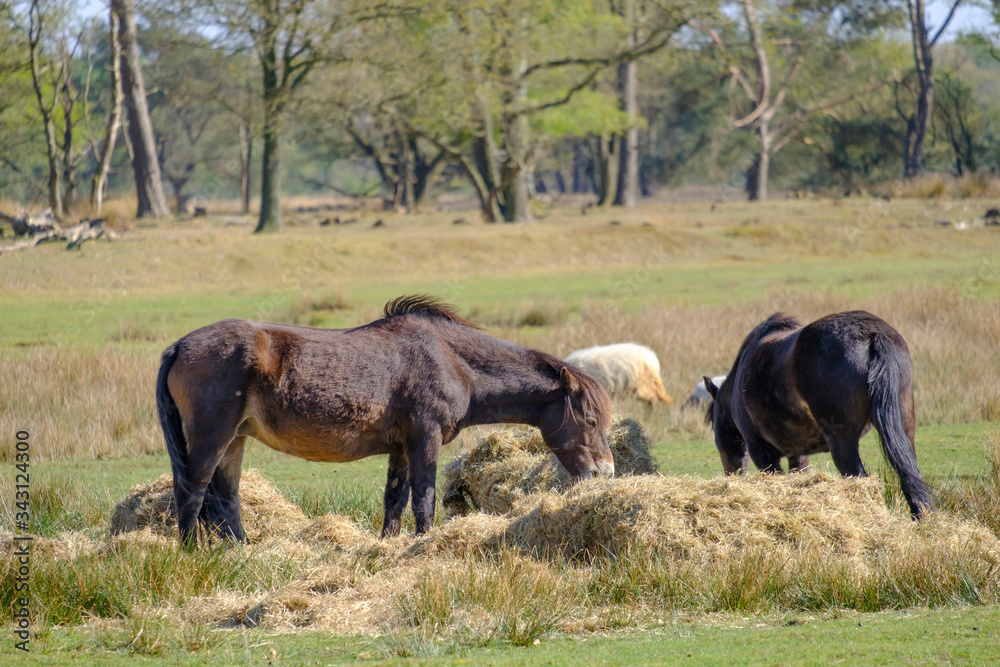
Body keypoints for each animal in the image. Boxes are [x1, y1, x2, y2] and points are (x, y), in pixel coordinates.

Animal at [157, 295, 614, 547]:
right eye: (591, 420)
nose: (606, 472)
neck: (451, 360)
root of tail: (180, 345)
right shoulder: (425, 440)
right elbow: (424, 502)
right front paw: (423, 547)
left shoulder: (401, 449)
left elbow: (394, 502)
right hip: (212, 438)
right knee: (192, 493)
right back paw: (191, 554)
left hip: (235, 440)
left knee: (225, 499)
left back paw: (243, 552)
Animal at [703, 311, 934, 518]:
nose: (731, 475)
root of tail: (872, 334)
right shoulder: (798, 454)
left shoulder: (761, 451)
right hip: (904, 431)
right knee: (910, 480)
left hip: (843, 443)